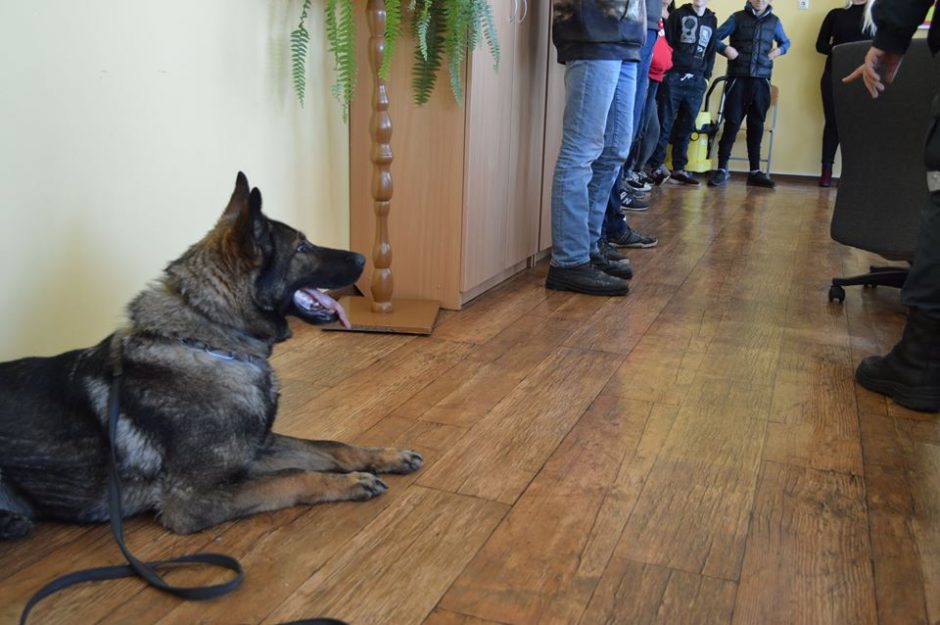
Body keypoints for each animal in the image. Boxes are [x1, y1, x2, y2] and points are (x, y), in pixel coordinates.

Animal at [0, 173, 420, 540]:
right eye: (301, 248)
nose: (365, 258)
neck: (215, 343)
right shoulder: (195, 500)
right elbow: (294, 476)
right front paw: (349, 483)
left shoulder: (257, 446)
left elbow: (331, 446)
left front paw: (387, 456)